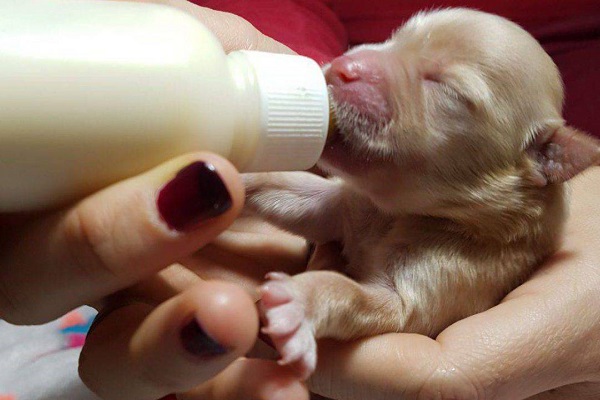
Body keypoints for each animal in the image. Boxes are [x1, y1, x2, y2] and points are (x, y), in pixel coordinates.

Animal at [244, 7, 600, 380]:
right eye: (394, 38)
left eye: (446, 88)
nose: (343, 66)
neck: (398, 213)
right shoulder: (343, 207)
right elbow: (291, 191)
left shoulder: (426, 291)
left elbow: (350, 293)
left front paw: (299, 301)